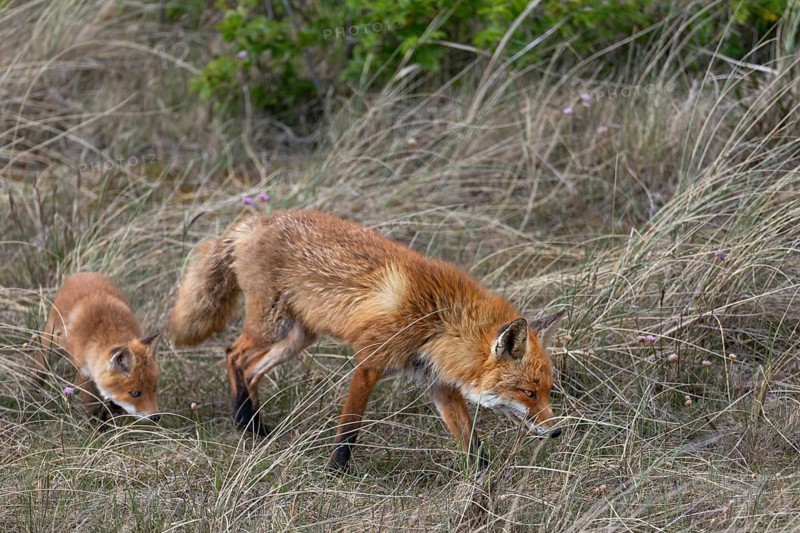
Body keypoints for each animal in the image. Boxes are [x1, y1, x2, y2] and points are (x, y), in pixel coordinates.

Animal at [35, 272, 160, 421]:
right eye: (135, 393)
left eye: (154, 388)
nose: (156, 417)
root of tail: (82, 274)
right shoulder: (84, 371)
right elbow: (90, 403)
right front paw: (96, 422)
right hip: (51, 346)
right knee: (40, 364)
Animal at [168, 210, 563, 470]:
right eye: (528, 392)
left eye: (547, 391)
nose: (557, 431)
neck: (437, 322)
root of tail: (255, 219)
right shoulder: (369, 363)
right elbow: (349, 429)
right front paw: (336, 472)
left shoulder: (439, 383)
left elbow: (471, 443)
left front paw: (484, 481)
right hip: (271, 326)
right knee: (233, 353)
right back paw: (242, 419)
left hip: (298, 337)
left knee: (251, 368)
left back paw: (256, 426)